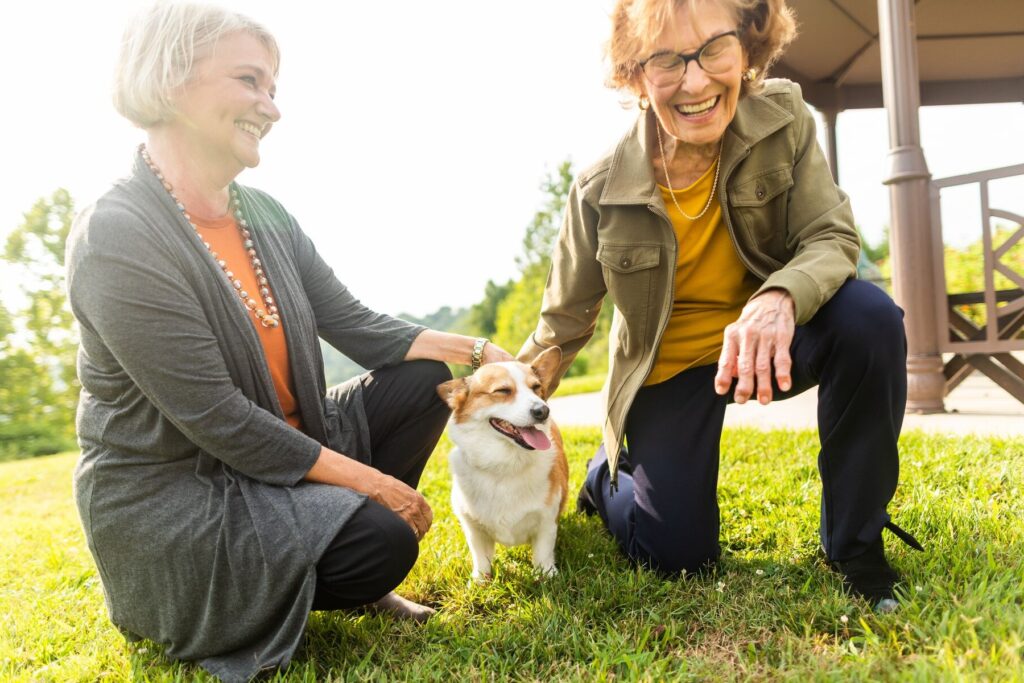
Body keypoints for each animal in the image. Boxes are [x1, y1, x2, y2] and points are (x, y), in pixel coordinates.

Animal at [436, 348, 569, 581]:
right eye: (503, 390)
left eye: (536, 387)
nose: (543, 411)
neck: (505, 463)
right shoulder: (473, 527)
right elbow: (480, 557)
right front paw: (480, 581)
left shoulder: (546, 522)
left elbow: (543, 554)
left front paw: (546, 577)